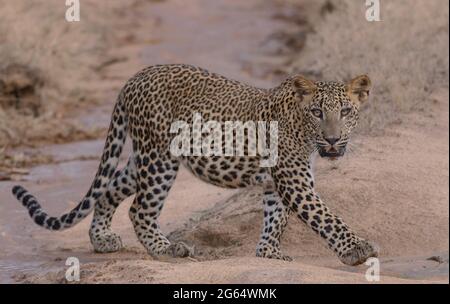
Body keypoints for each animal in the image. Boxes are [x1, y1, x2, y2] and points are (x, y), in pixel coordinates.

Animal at [10, 64, 378, 266]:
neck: (301, 126)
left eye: (346, 112)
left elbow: (277, 219)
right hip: (160, 157)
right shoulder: (295, 181)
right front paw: (356, 249)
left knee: (108, 191)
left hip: (141, 158)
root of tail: (134, 78)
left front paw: (268, 253)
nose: (332, 140)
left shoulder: (278, 183)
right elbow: (325, 217)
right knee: (140, 209)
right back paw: (167, 249)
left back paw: (102, 240)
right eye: (317, 112)